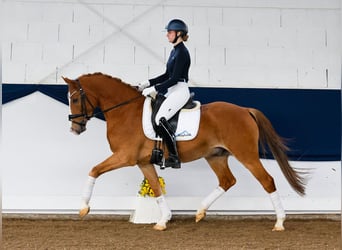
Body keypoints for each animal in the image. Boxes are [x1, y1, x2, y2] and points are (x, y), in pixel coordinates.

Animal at [62, 73, 306, 231]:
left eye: (75, 98)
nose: (75, 129)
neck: (125, 111)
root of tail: (245, 110)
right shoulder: (143, 162)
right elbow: (156, 188)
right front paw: (163, 221)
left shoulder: (125, 157)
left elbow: (94, 170)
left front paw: (83, 208)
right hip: (215, 156)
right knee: (227, 180)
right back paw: (200, 211)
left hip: (247, 155)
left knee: (267, 180)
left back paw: (279, 223)